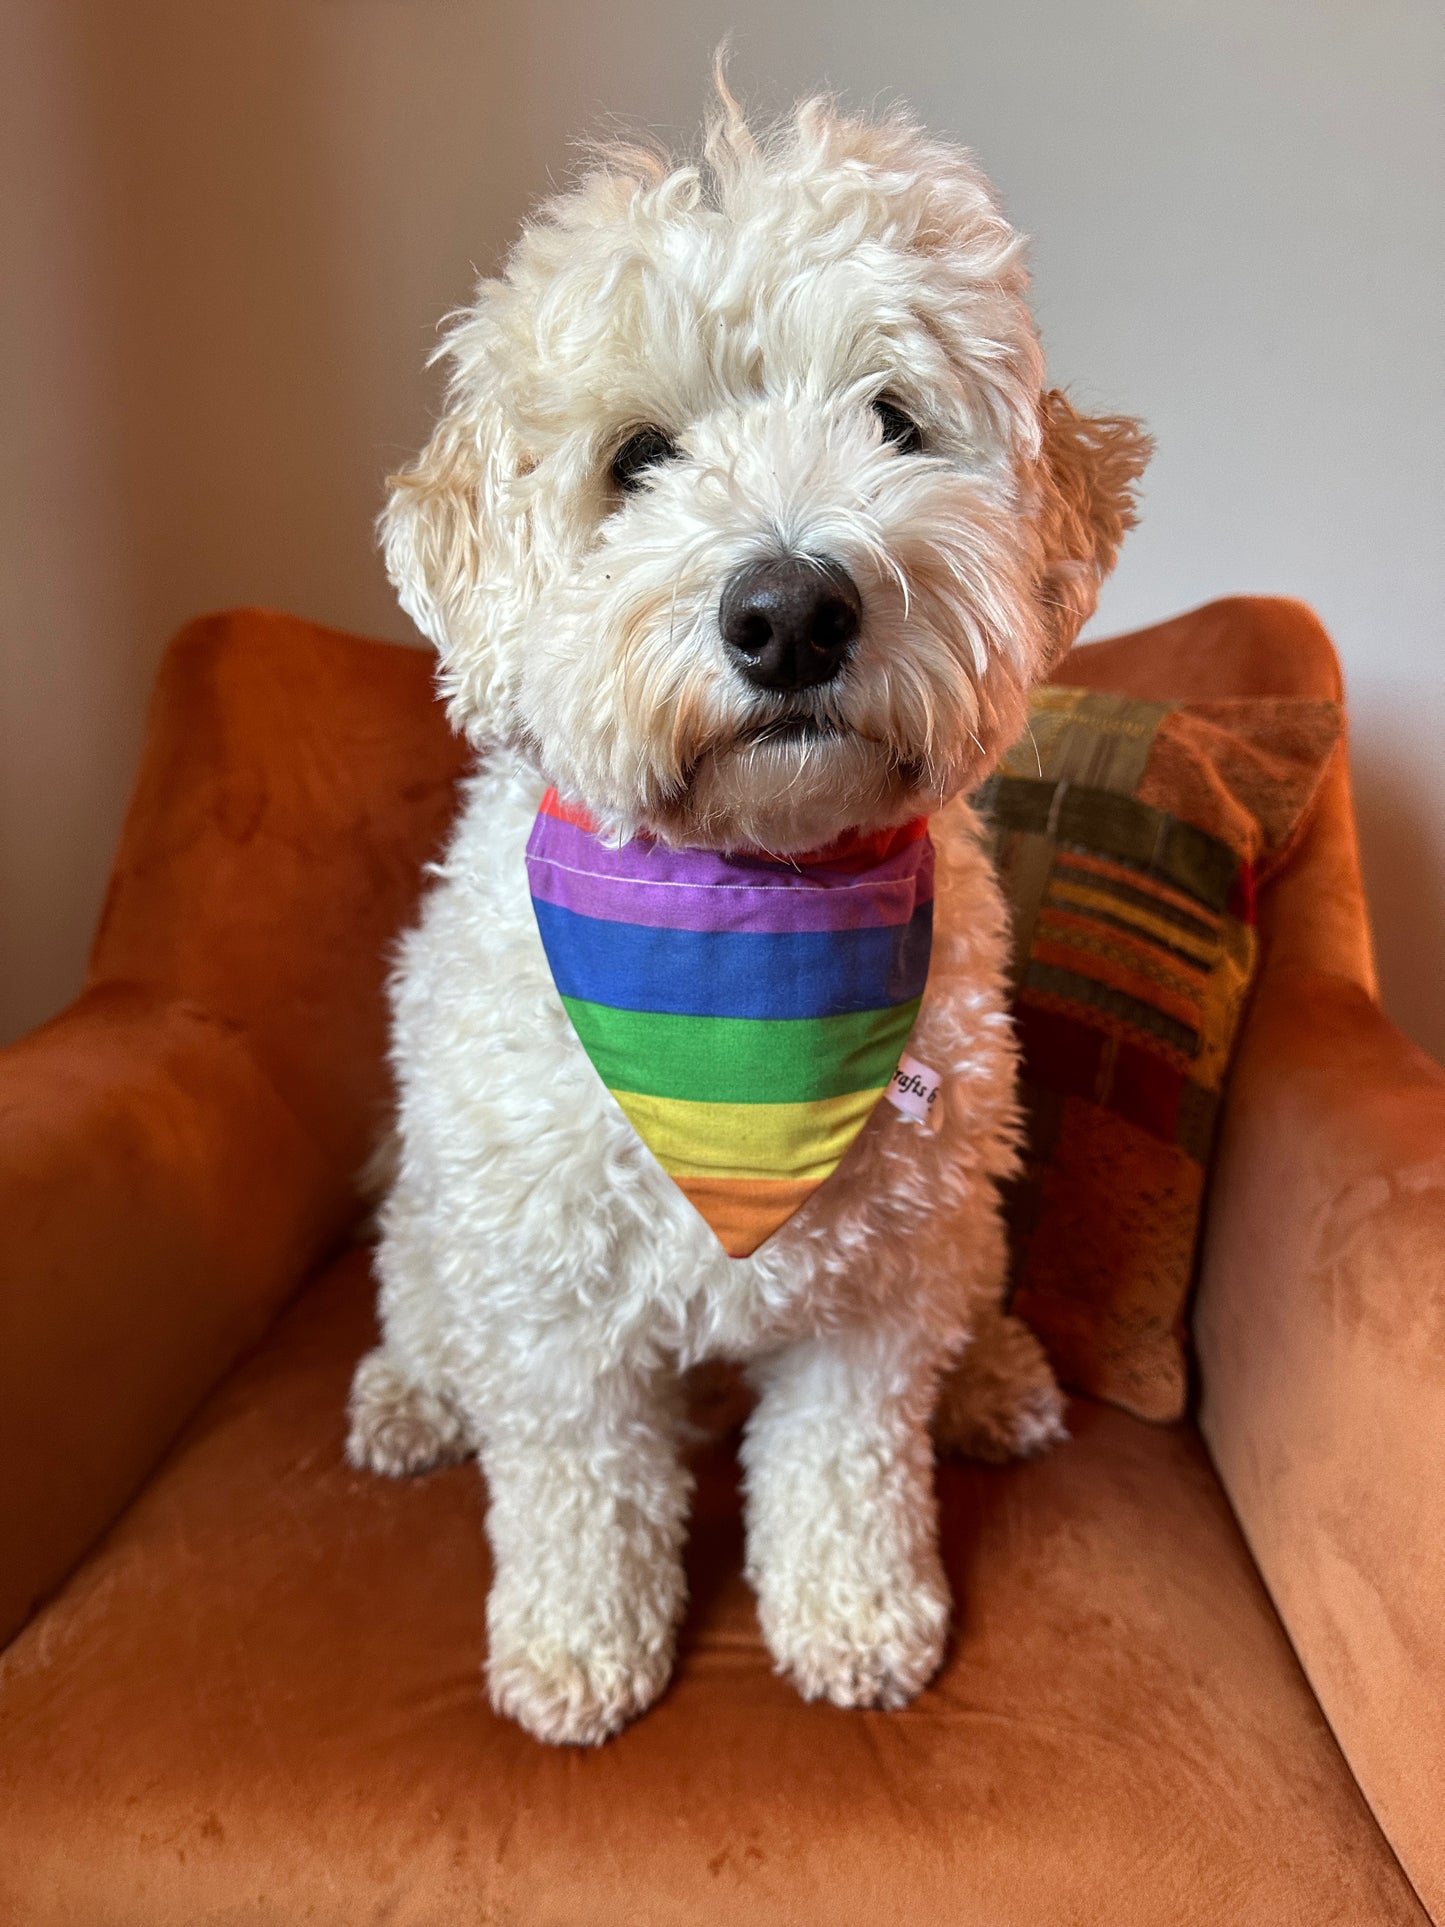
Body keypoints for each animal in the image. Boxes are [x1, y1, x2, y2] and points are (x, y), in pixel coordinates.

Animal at [344, 82, 1148, 1749]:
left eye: (895, 420)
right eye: (636, 458)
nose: (790, 612)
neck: (751, 898)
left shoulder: (875, 1288)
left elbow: (846, 1464)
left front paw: (856, 1617)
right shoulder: (551, 1301)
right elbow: (577, 1488)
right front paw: (577, 1645)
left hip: (964, 1219)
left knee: (968, 1311)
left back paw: (993, 1382)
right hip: (437, 1226)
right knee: (420, 1305)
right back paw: (407, 1396)